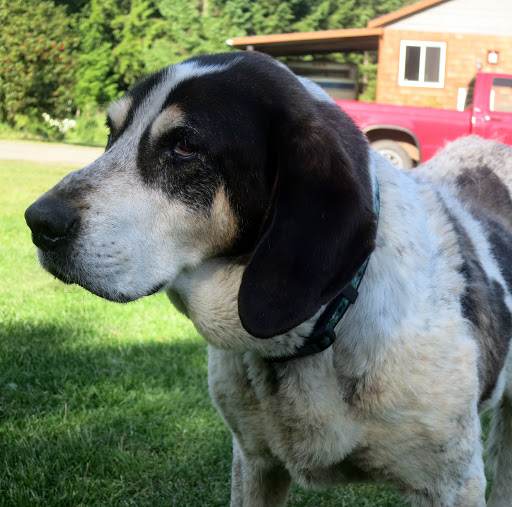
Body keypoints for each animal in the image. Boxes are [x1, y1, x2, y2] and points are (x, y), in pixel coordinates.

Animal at [25, 53, 512, 506]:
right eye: (112, 133)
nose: (38, 222)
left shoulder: (451, 485)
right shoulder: (254, 462)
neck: (321, 331)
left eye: (184, 147)